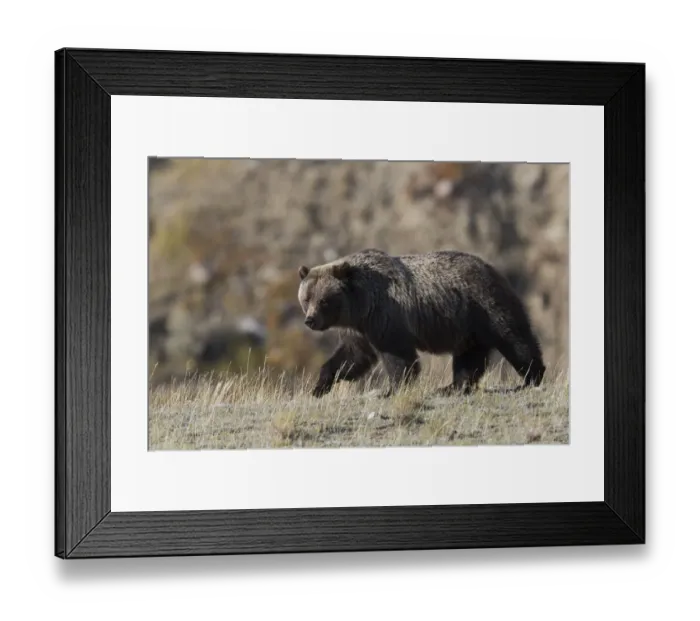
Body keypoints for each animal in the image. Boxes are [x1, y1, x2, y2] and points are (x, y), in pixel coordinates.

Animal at [297, 248, 546, 398]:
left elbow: (399, 358)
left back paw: (531, 377)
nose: (310, 320)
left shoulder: (387, 319)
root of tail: (493, 269)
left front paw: (394, 388)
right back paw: (452, 386)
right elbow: (351, 357)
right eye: (306, 298)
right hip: (468, 326)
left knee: (515, 339)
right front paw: (319, 386)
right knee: (469, 357)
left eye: (324, 300)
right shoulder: (361, 329)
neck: (362, 304)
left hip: (485, 306)